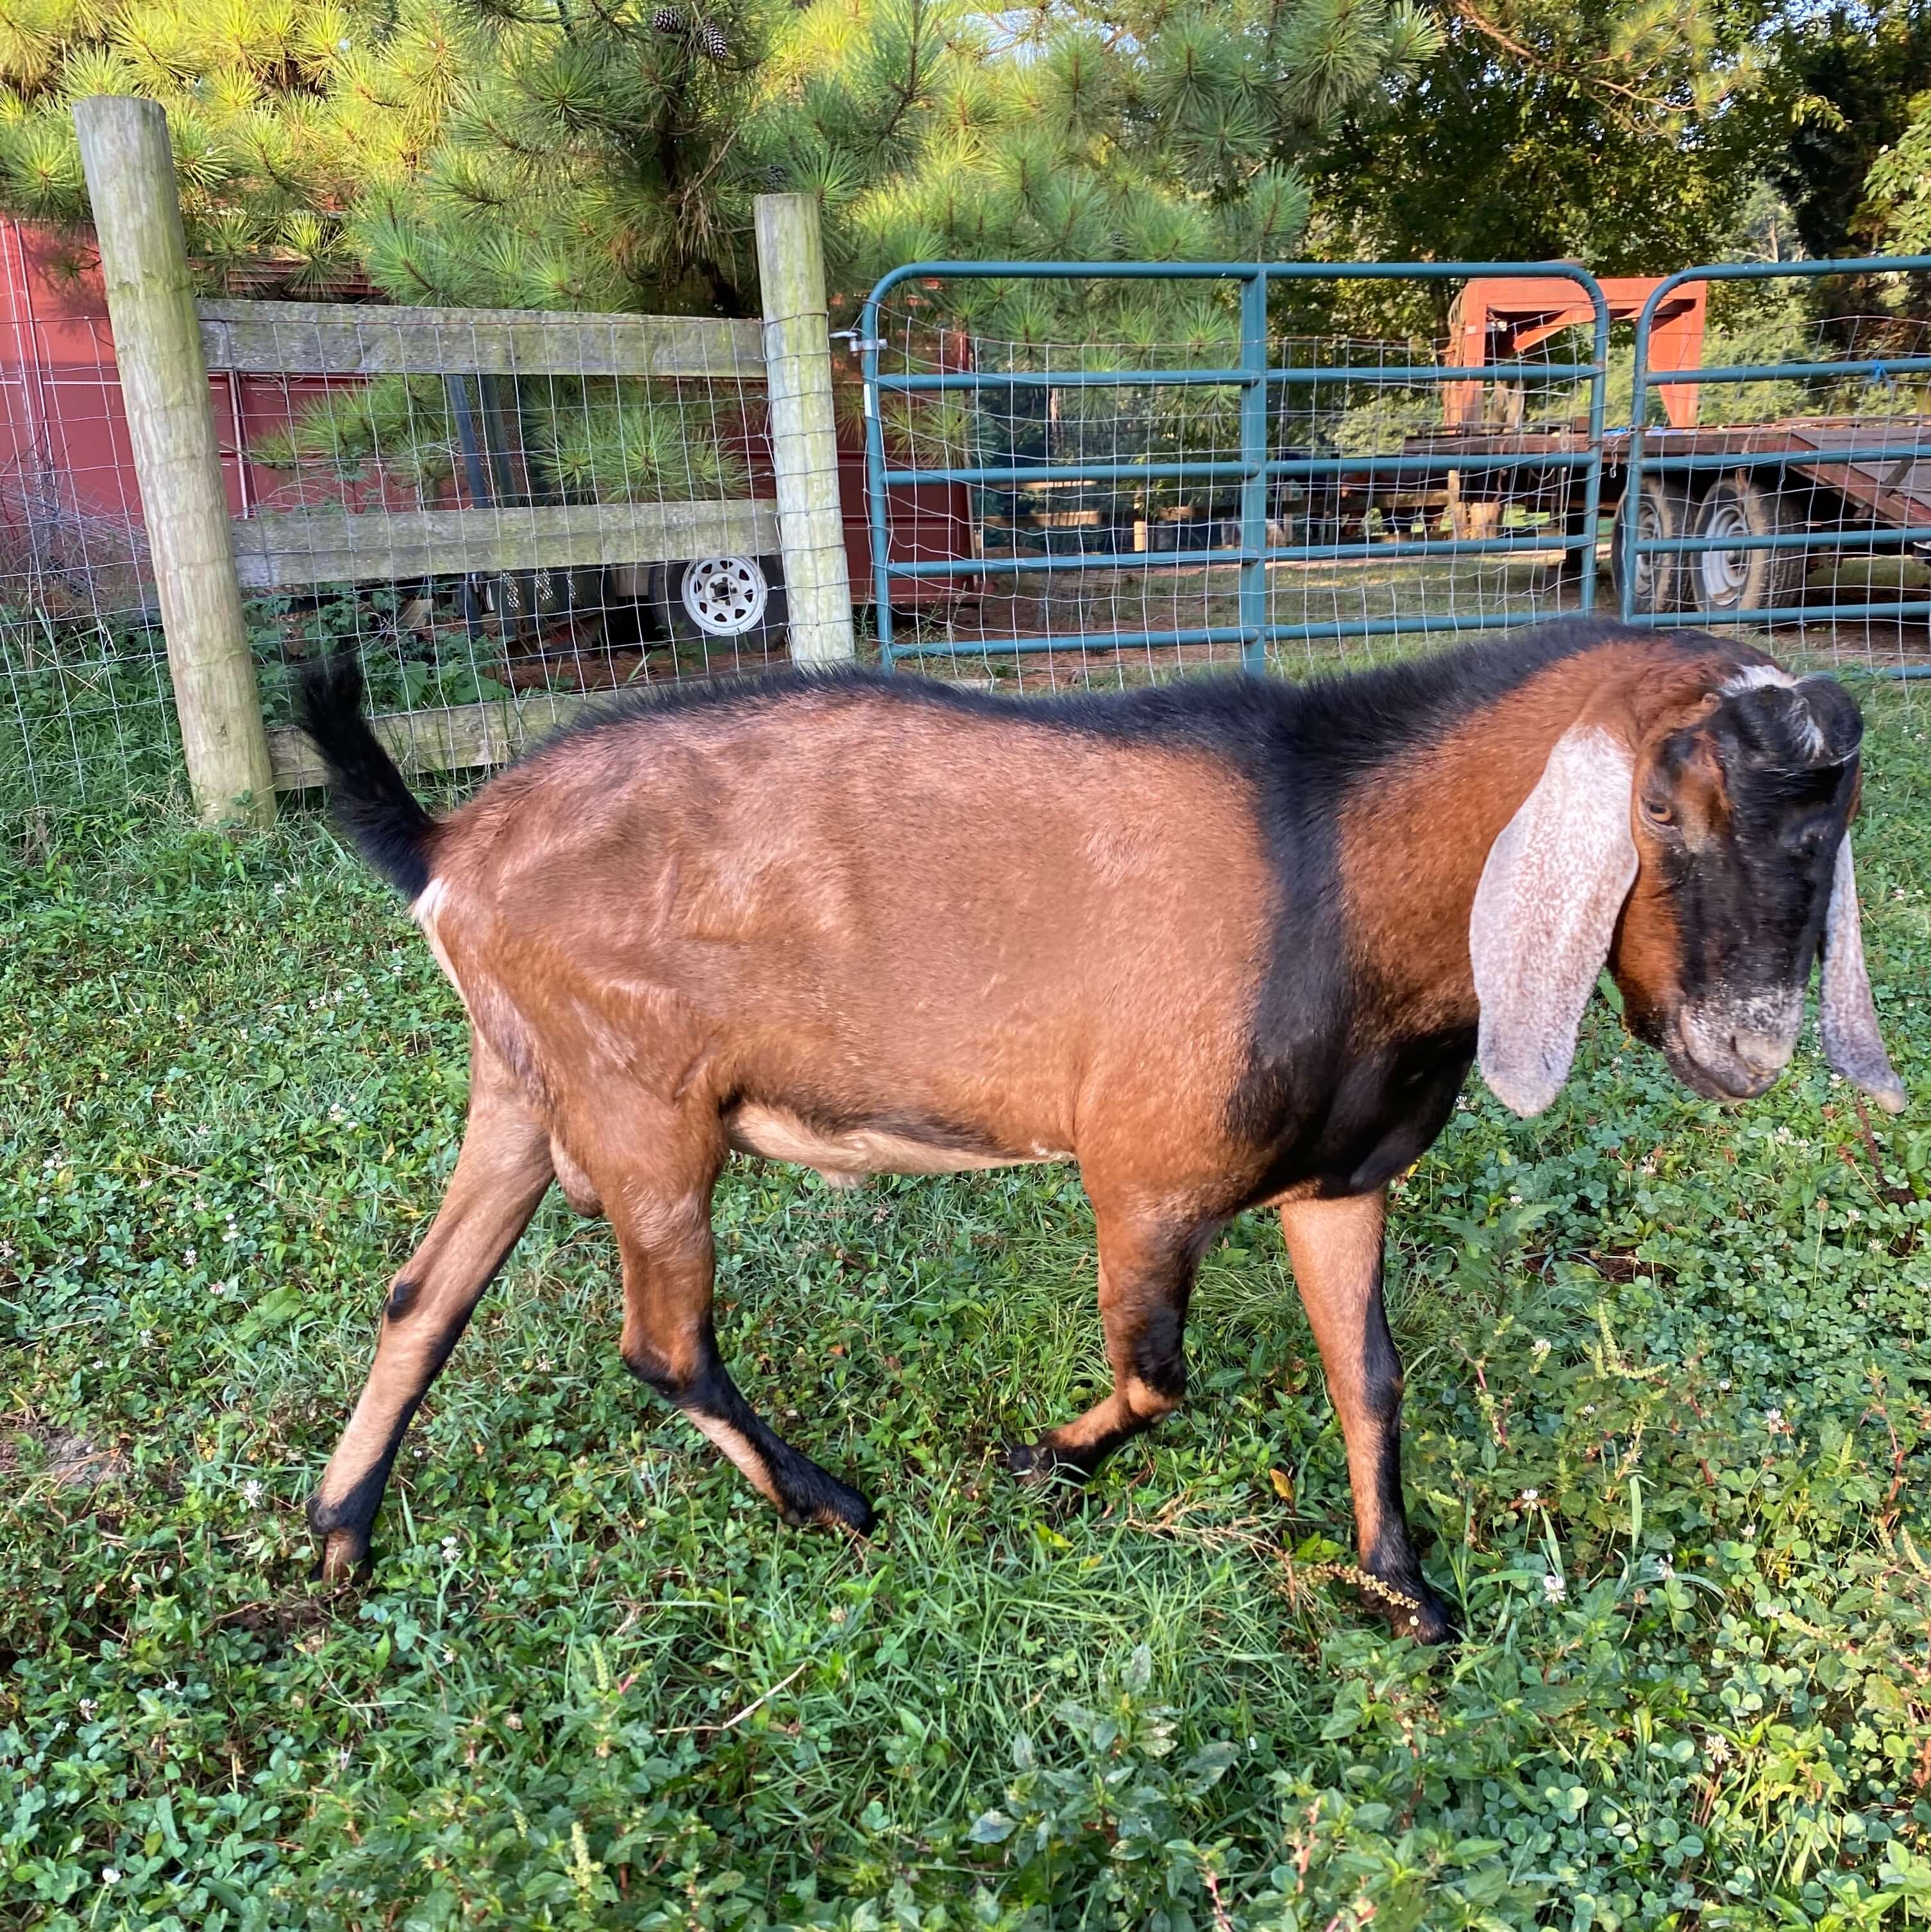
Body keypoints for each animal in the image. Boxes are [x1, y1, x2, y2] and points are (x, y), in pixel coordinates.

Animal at [296, 618, 1904, 1641]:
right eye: (1661, 808)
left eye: (1831, 825)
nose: (1743, 1048)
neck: (1341, 863)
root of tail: (448, 847)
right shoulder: (1142, 1173)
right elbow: (1157, 1374)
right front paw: (1037, 1465)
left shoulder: (1338, 1179)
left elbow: (1369, 1376)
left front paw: (1400, 1584)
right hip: (642, 1106)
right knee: (658, 1341)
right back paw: (828, 1502)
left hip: (523, 1084)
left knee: (421, 1293)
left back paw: (339, 1531)